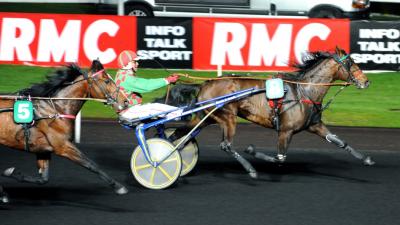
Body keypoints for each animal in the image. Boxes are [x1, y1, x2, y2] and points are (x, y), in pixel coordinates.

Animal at [0, 59, 128, 202]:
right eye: (106, 81)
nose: (125, 101)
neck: (56, 110)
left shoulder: (43, 150)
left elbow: (43, 179)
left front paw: (12, 173)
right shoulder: (63, 146)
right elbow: (92, 165)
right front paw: (119, 187)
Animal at [170, 46, 376, 178]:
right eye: (350, 62)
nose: (366, 81)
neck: (304, 91)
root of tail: (204, 84)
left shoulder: (315, 125)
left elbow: (340, 142)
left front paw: (366, 159)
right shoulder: (285, 130)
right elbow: (280, 158)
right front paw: (252, 150)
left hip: (206, 117)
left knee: (180, 135)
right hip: (227, 117)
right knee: (226, 145)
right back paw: (250, 169)